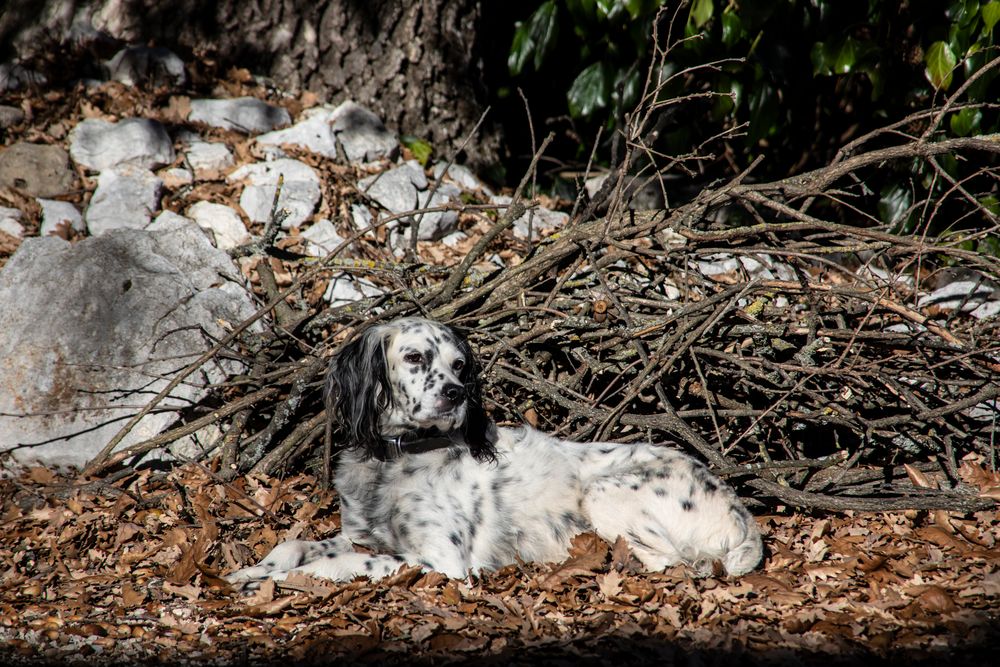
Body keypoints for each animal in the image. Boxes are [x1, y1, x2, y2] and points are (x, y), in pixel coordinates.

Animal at [225, 318, 756, 584]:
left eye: (460, 365)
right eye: (414, 357)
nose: (456, 393)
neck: (401, 456)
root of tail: (742, 513)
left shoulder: (441, 562)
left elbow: (339, 564)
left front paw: (282, 581)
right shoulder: (362, 536)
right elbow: (295, 544)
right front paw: (251, 572)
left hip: (605, 493)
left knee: (670, 564)